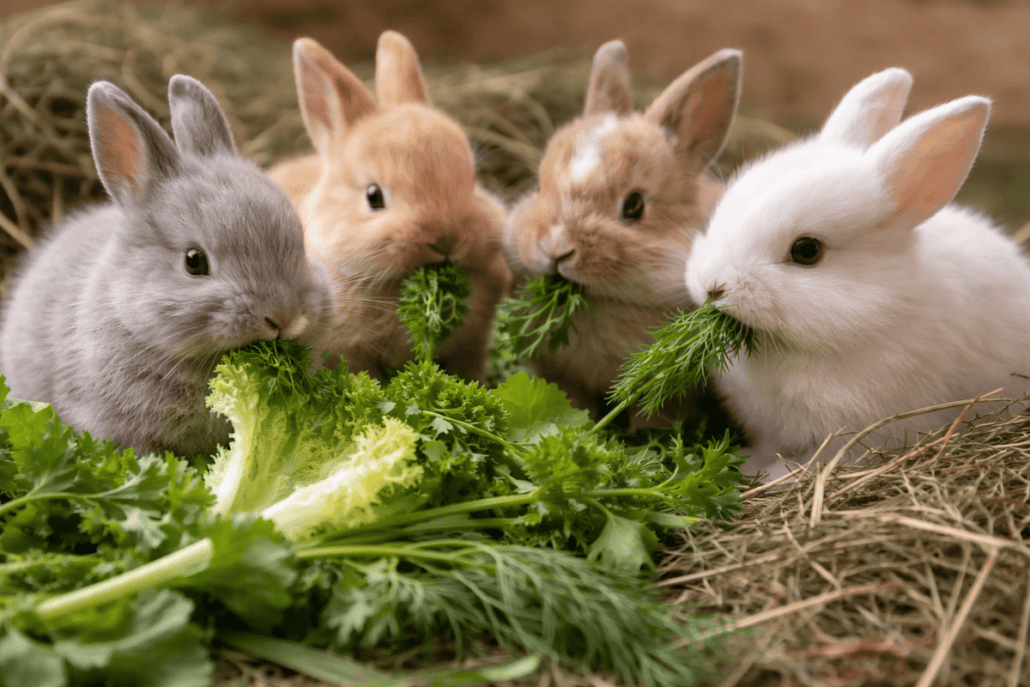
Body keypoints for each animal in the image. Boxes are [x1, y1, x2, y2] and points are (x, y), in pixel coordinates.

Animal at [684, 67, 1030, 481]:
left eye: (807, 251)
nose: (711, 286)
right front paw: (751, 463)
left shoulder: (858, 435)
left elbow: (818, 461)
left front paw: (773, 475)